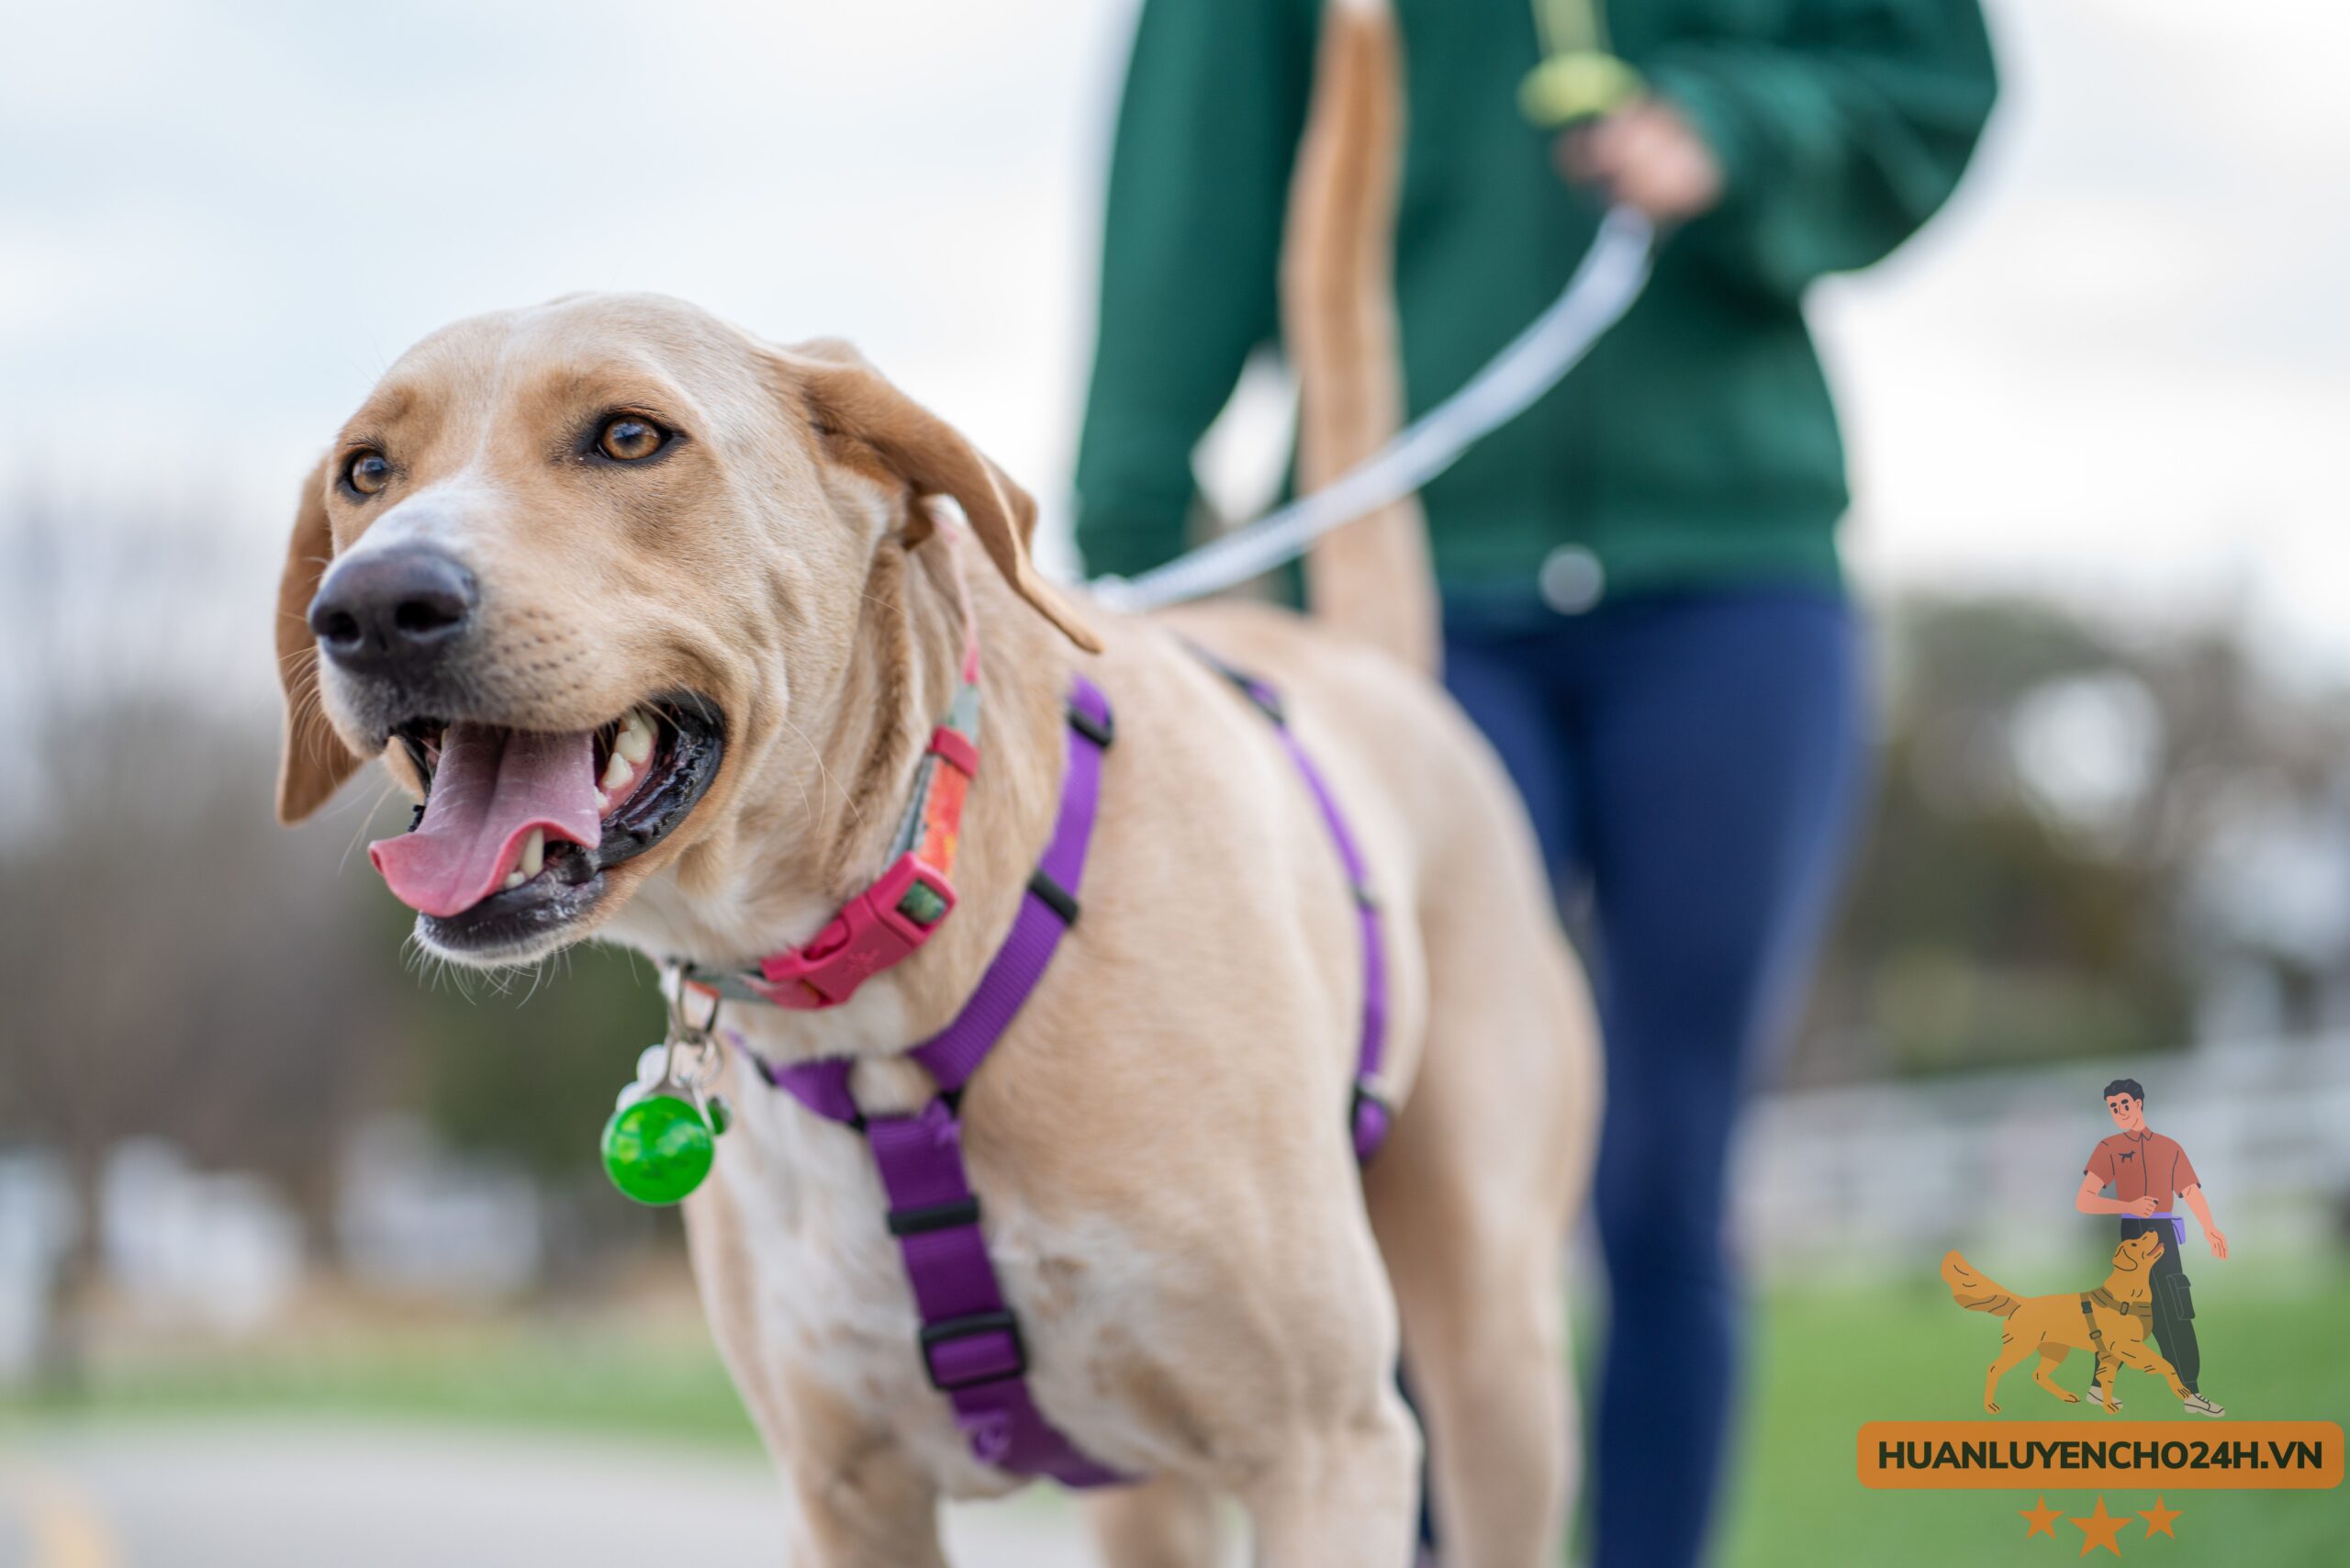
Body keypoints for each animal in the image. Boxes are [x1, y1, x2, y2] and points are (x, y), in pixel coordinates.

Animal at [274, 6, 1597, 1561]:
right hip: (1154, 1492)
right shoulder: (847, 1492)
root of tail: (1368, 667)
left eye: (629, 436)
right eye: (367, 470)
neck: (887, 965)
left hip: (1494, 1367)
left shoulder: (1328, 1452)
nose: (370, 606)